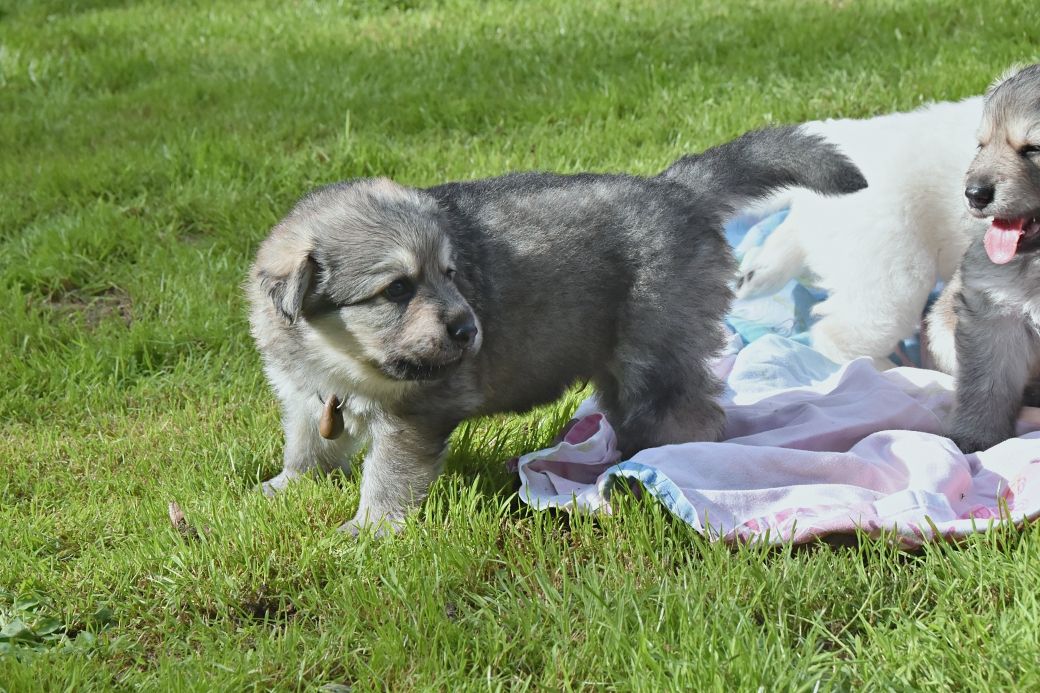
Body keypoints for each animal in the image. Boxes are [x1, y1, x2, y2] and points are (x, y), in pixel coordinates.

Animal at [247, 126, 866, 534]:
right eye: (397, 289)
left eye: (450, 273)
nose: (469, 330)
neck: (340, 355)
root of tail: (675, 189)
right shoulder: (306, 398)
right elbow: (308, 447)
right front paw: (282, 488)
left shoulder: (415, 415)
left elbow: (388, 476)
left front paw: (369, 531)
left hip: (654, 357)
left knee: (688, 415)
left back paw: (670, 468)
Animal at [924, 64, 1040, 453]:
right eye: (982, 146)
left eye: (1033, 148)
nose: (973, 193)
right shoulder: (993, 315)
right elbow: (986, 386)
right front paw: (974, 437)